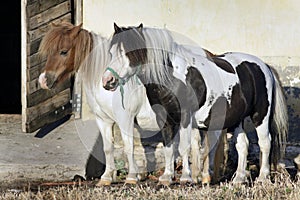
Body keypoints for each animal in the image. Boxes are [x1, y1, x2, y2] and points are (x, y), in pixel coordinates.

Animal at [102, 23, 288, 183]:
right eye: (110, 53)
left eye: (129, 52)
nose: (108, 81)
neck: (172, 77)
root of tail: (264, 66)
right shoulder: (165, 119)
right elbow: (169, 147)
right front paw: (167, 177)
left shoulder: (185, 118)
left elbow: (185, 147)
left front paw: (186, 177)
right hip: (237, 119)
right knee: (243, 145)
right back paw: (239, 179)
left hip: (261, 116)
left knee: (265, 143)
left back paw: (263, 178)